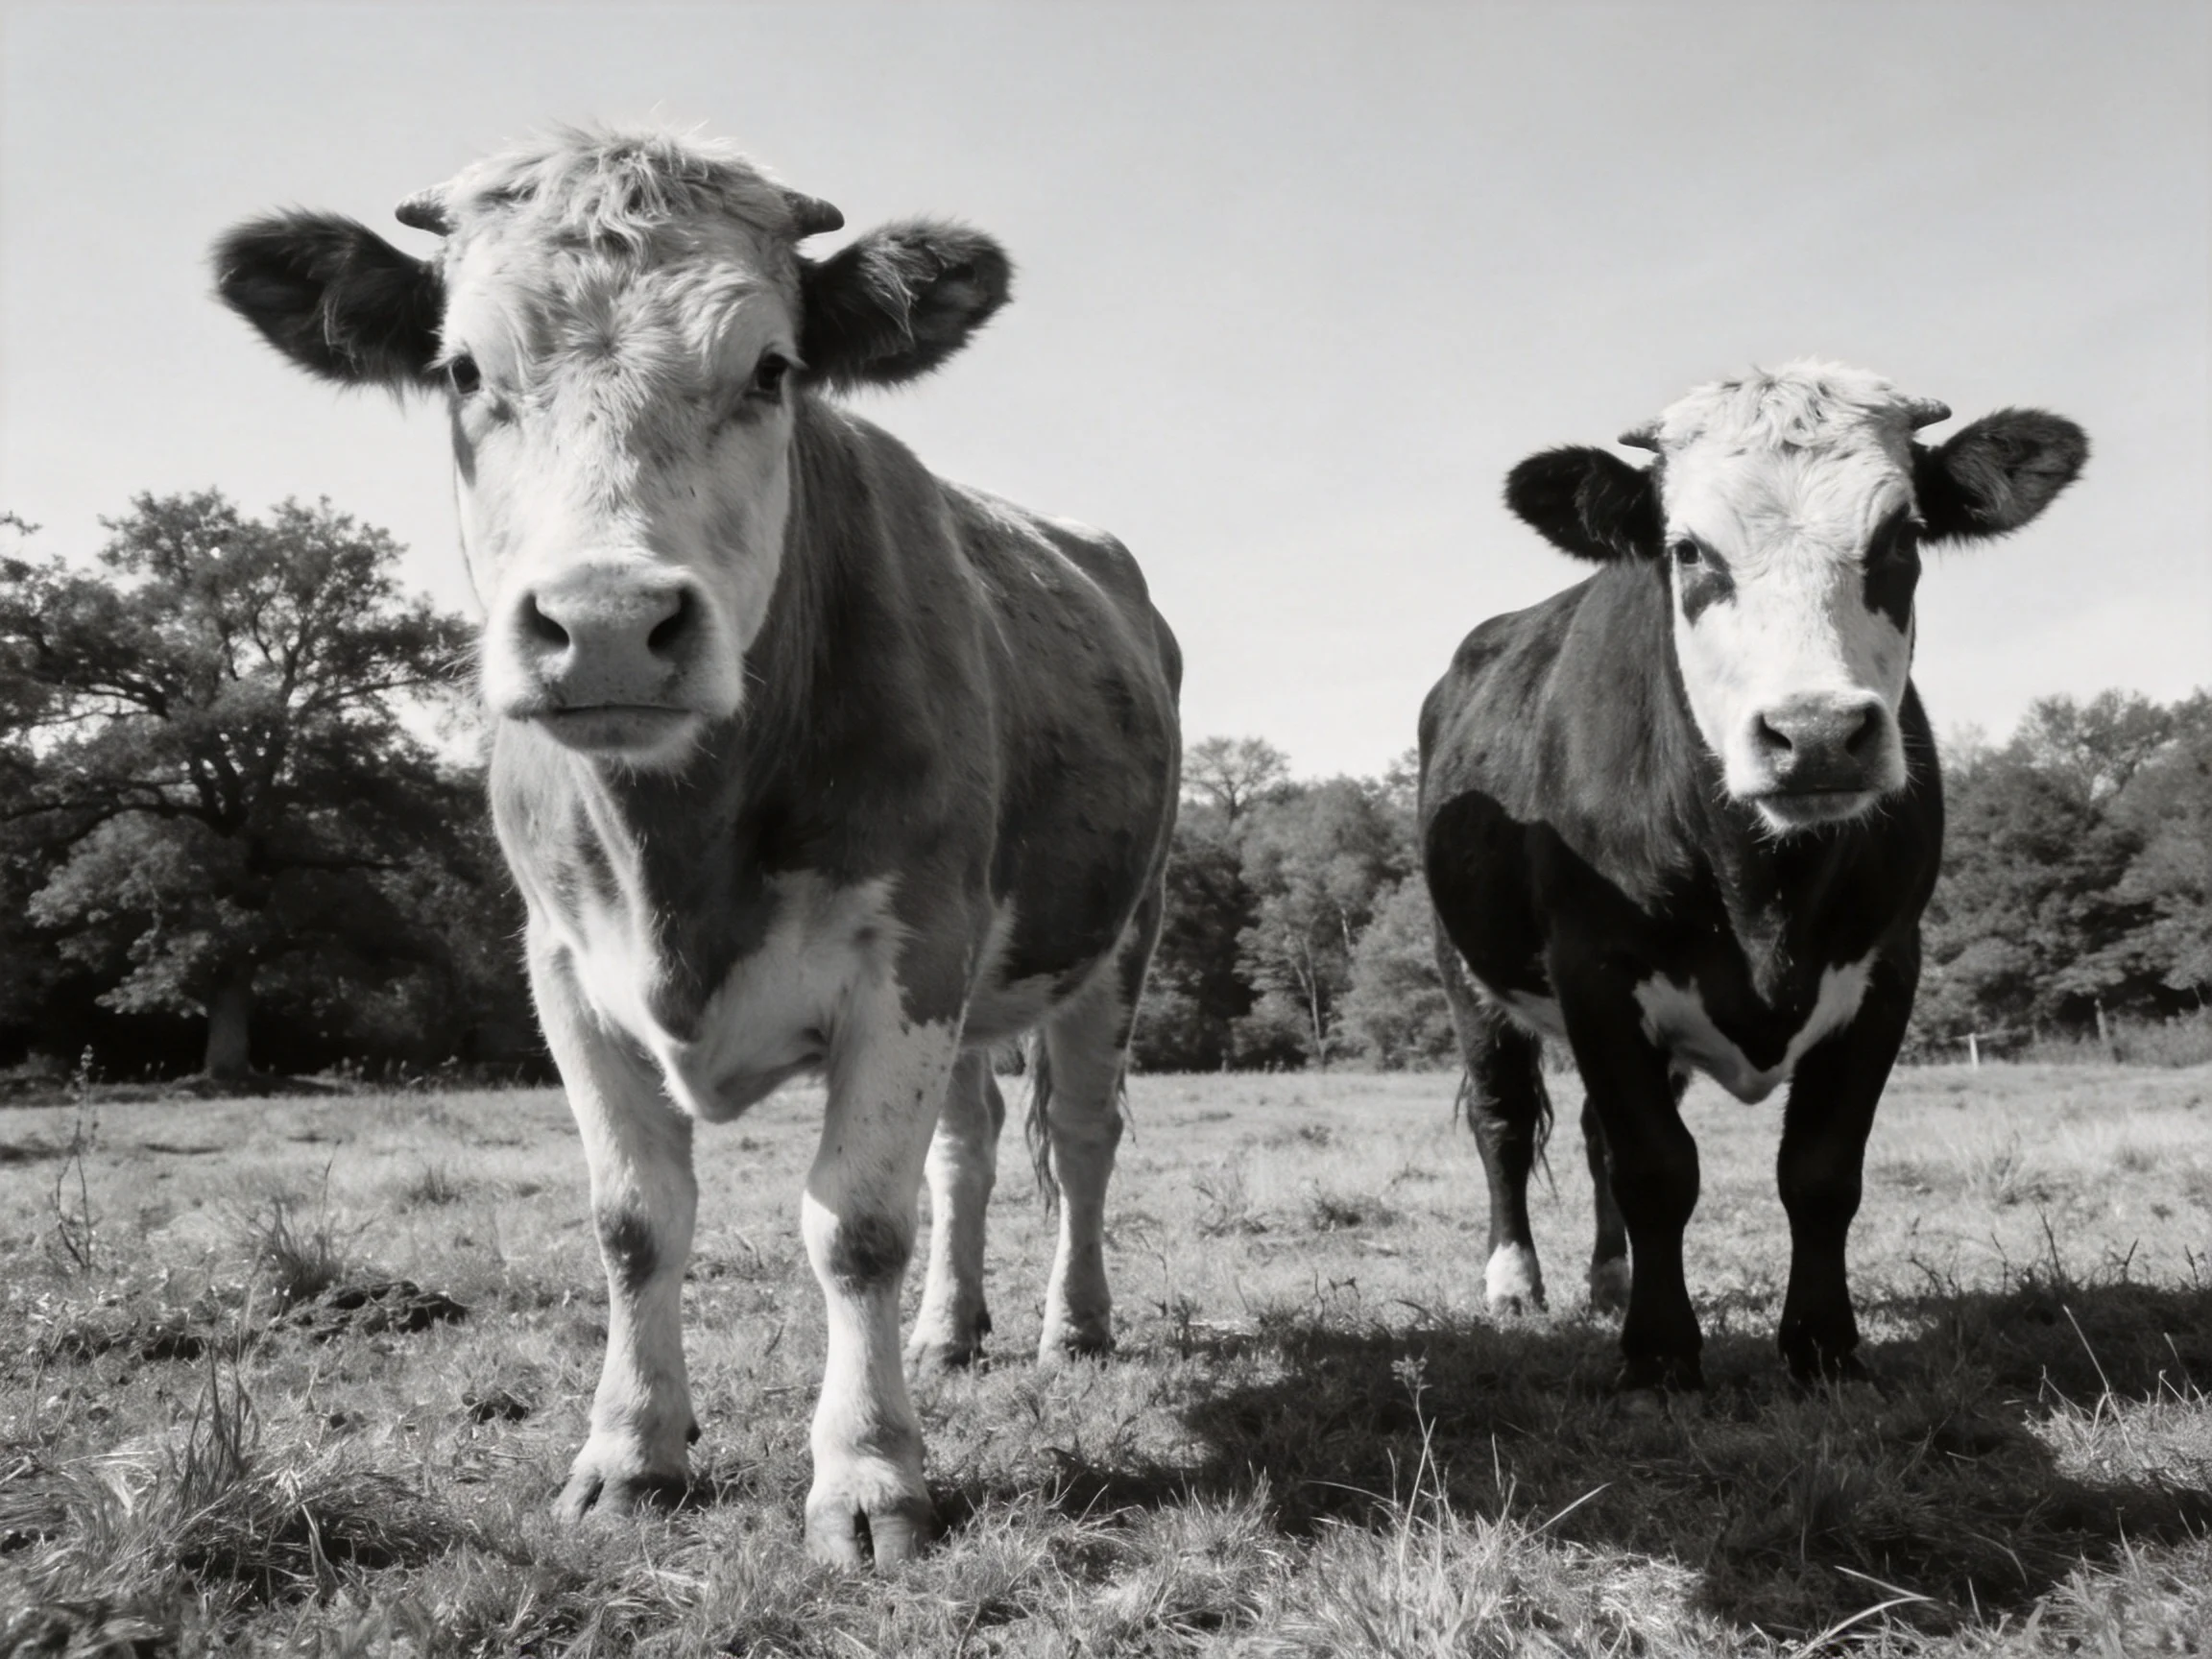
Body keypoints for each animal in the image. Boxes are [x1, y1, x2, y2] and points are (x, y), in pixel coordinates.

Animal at [212, 127, 1180, 1565]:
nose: (609, 623)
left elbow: (857, 1227)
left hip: (1113, 936)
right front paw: (631, 1454)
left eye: (773, 368)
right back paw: (951, 1333)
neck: (681, 852)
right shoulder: (563, 966)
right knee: (971, 1141)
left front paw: (869, 1478)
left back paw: (1076, 1325)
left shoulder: (910, 949)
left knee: (1081, 1135)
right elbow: (634, 1224)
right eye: (462, 369)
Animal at [1419, 362, 2086, 1394]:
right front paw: (1660, 1355)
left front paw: (1821, 1345)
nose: (1814, 734)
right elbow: (1657, 1168)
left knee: (1590, 1131)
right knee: (1503, 1121)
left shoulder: (1887, 967)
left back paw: (1609, 1278)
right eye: (1688, 551)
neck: (1765, 894)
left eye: (1901, 538)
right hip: (1467, 974)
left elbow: (1819, 1170)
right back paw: (1514, 1283)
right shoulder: (1592, 967)